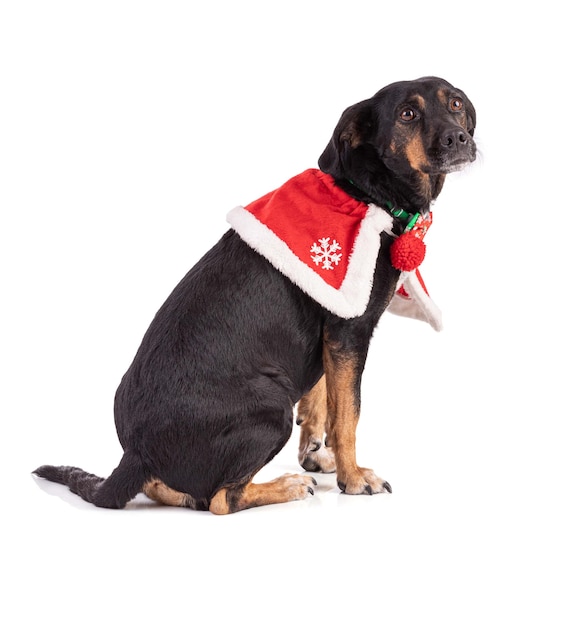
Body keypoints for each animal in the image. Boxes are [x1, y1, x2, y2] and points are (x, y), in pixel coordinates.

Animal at [35, 75, 478, 512]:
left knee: (172, 490)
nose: (458, 138)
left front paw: (317, 450)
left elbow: (323, 394)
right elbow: (348, 413)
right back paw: (288, 486)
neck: (366, 193)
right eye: (407, 113)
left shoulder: (330, 323)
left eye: (455, 104)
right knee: (219, 499)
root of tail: (137, 455)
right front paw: (353, 477)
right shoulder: (350, 328)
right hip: (271, 403)